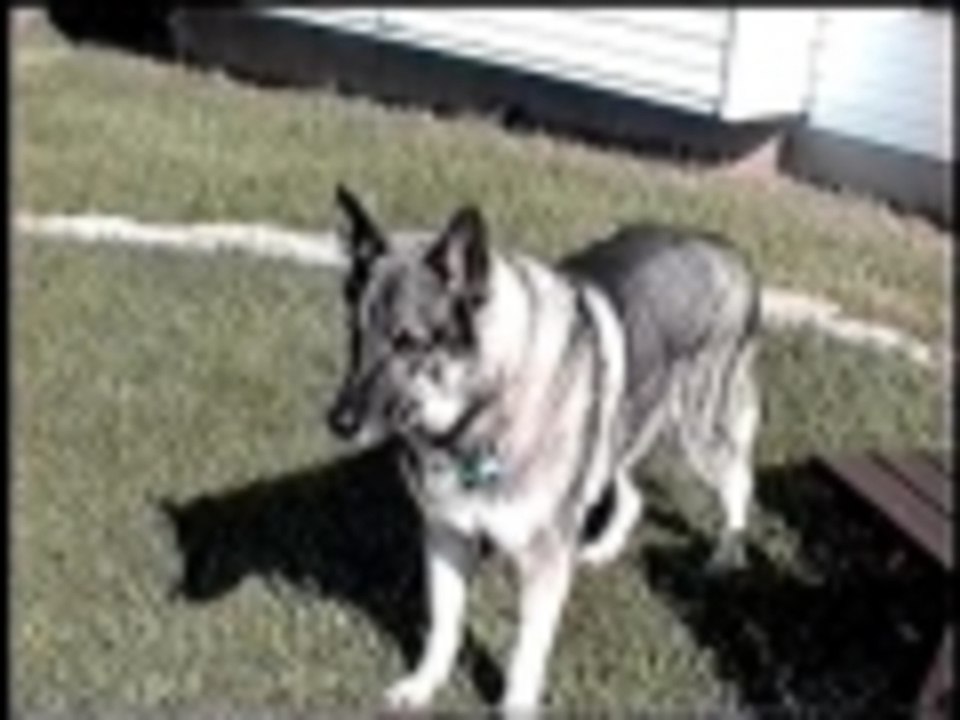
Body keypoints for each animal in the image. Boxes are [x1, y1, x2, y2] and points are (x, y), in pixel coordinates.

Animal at [326, 185, 761, 714]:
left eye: (409, 342)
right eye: (356, 334)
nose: (338, 422)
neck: (488, 406)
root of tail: (725, 248)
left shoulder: (543, 564)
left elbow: (525, 656)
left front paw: (514, 706)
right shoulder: (446, 537)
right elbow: (445, 628)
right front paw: (425, 685)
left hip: (699, 430)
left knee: (738, 480)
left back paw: (726, 554)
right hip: (618, 432)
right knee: (634, 496)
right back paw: (603, 548)